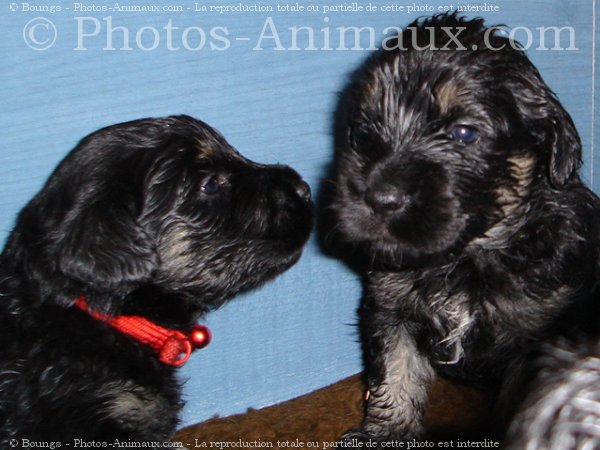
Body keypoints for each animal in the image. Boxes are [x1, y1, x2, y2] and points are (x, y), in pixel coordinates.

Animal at [326, 14, 600, 442]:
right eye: (365, 130)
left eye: (464, 133)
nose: (379, 198)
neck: (464, 259)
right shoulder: (391, 308)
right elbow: (396, 372)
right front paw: (388, 434)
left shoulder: (535, 340)